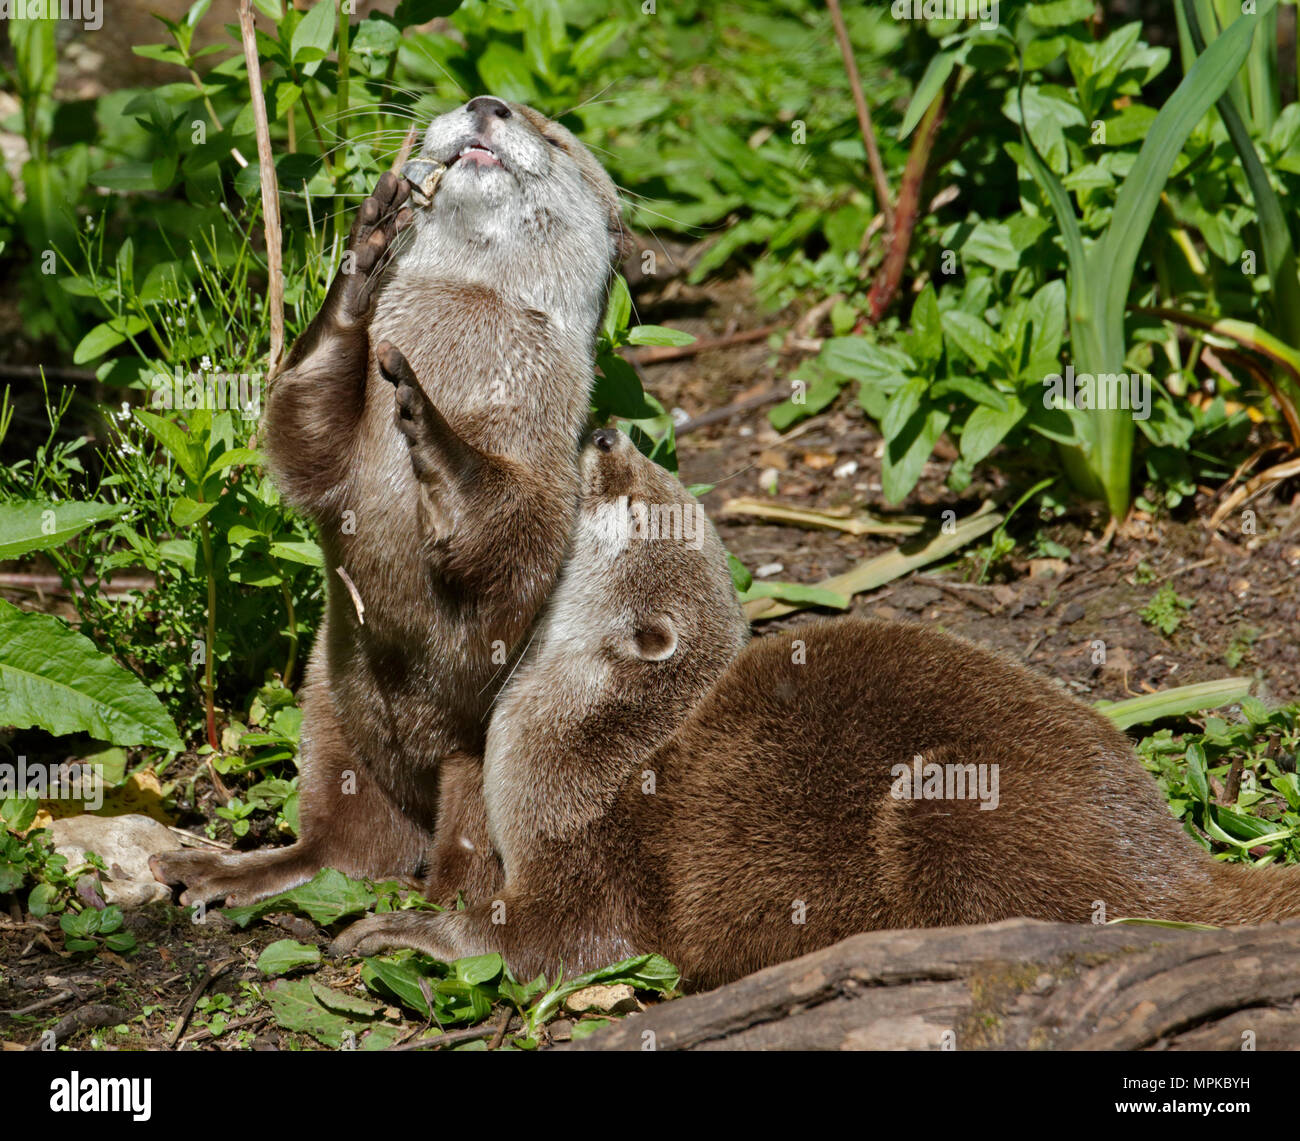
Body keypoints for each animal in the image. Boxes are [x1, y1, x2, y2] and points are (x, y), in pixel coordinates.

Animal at [152, 102, 629, 914]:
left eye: (554, 136)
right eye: (480, 102)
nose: (489, 105)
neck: (465, 350)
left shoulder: (547, 463)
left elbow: (515, 535)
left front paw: (431, 427)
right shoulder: (332, 456)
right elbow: (301, 440)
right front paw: (362, 259)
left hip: (470, 761)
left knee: (456, 865)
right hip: (327, 711)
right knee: (340, 850)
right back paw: (219, 872)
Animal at [332, 428, 1300, 992]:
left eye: (633, 498)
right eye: (650, 465)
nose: (606, 431)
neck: (588, 738)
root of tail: (1168, 864)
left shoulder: (591, 850)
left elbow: (538, 945)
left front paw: (401, 929)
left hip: (949, 807)